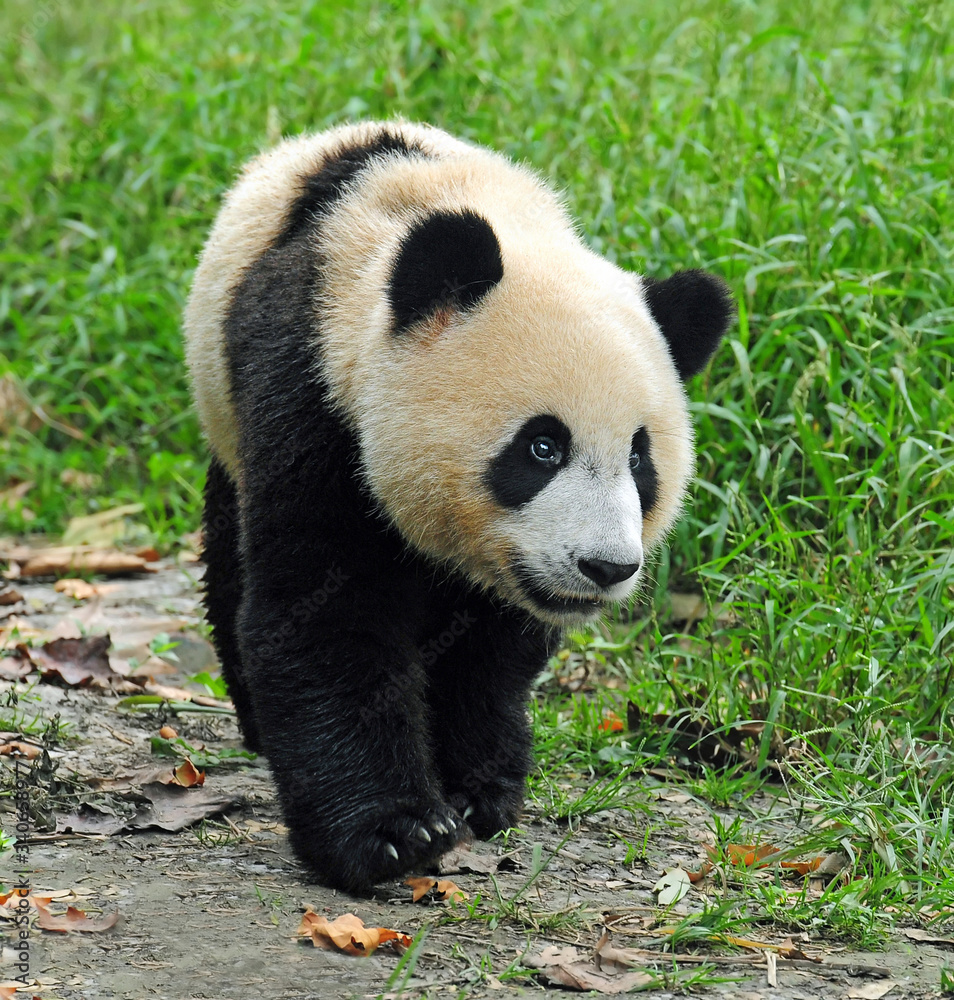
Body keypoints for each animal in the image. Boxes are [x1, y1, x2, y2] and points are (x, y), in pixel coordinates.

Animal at [184, 121, 733, 892]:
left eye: (638, 459)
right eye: (542, 447)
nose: (605, 567)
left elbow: (492, 646)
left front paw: (478, 788)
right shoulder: (313, 397)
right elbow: (325, 611)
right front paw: (391, 832)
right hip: (226, 420)